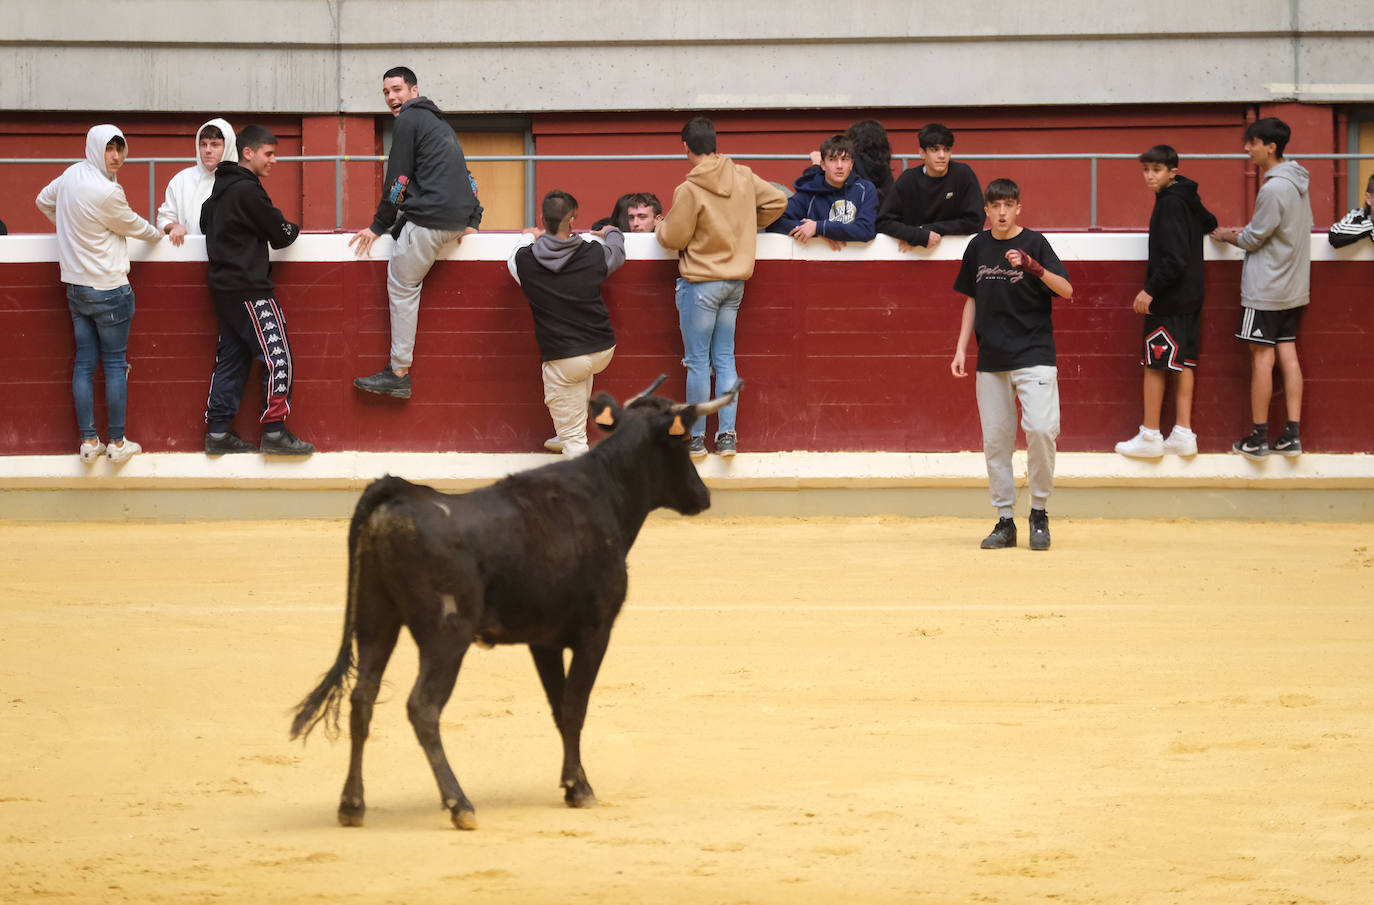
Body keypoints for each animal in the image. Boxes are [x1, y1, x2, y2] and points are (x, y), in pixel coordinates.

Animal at [289, 376, 741, 829]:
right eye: (682, 443)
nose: (702, 496)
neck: (602, 496)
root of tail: (395, 494)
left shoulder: (543, 641)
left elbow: (559, 707)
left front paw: (571, 784)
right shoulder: (595, 632)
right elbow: (575, 706)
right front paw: (581, 789)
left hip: (375, 619)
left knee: (361, 698)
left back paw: (352, 805)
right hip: (446, 636)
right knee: (423, 707)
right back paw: (459, 804)